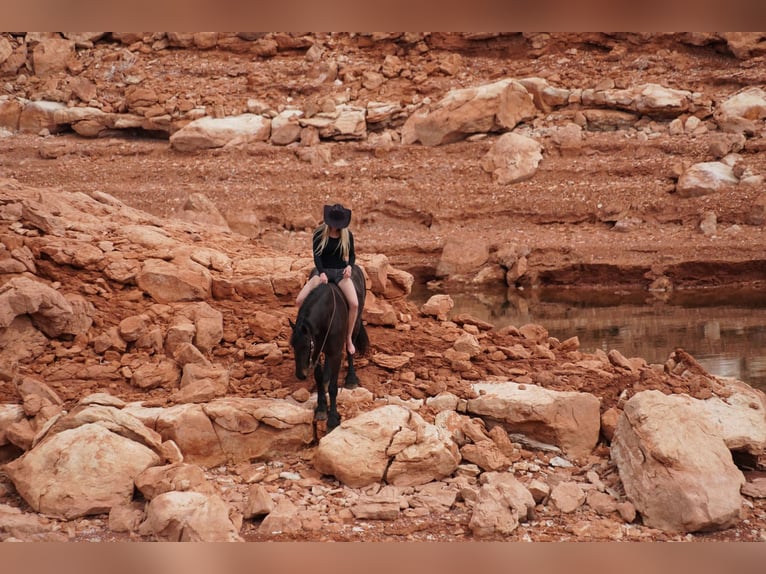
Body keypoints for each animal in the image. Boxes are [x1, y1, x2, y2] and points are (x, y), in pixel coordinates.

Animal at [290, 266, 370, 432]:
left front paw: (333, 419)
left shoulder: (335, 353)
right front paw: (321, 408)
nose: (300, 375)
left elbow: (333, 387)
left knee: (350, 347)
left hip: (355, 322)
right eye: (292, 345)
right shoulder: (317, 353)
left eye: (307, 345)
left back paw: (351, 379)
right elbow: (319, 378)